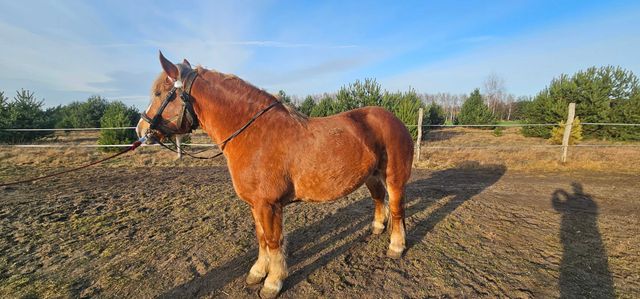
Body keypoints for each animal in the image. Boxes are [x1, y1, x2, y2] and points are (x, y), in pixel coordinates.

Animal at [137, 52, 412, 298]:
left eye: (159, 94)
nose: (141, 129)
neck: (254, 133)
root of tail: (394, 119)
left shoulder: (268, 205)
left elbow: (272, 241)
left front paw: (273, 282)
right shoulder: (256, 205)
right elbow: (261, 239)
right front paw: (258, 272)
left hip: (394, 178)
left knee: (397, 209)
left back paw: (396, 246)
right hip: (371, 176)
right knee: (379, 199)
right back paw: (377, 227)